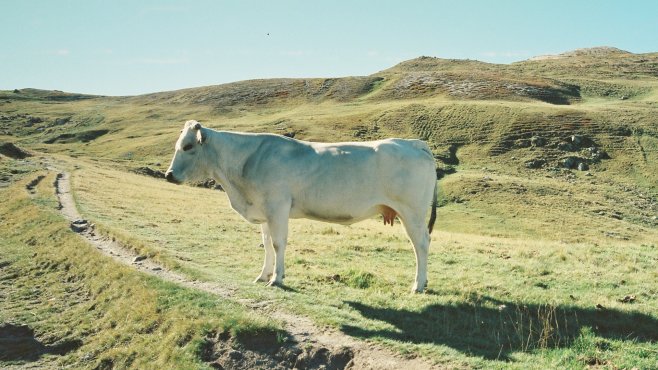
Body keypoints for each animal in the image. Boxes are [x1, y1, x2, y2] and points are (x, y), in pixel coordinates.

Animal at [167, 120, 438, 290]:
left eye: (188, 146)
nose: (169, 175)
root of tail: (413, 143)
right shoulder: (264, 211)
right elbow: (266, 244)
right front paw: (263, 275)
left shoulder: (277, 207)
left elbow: (278, 243)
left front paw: (276, 279)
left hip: (412, 212)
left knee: (421, 245)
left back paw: (418, 285)